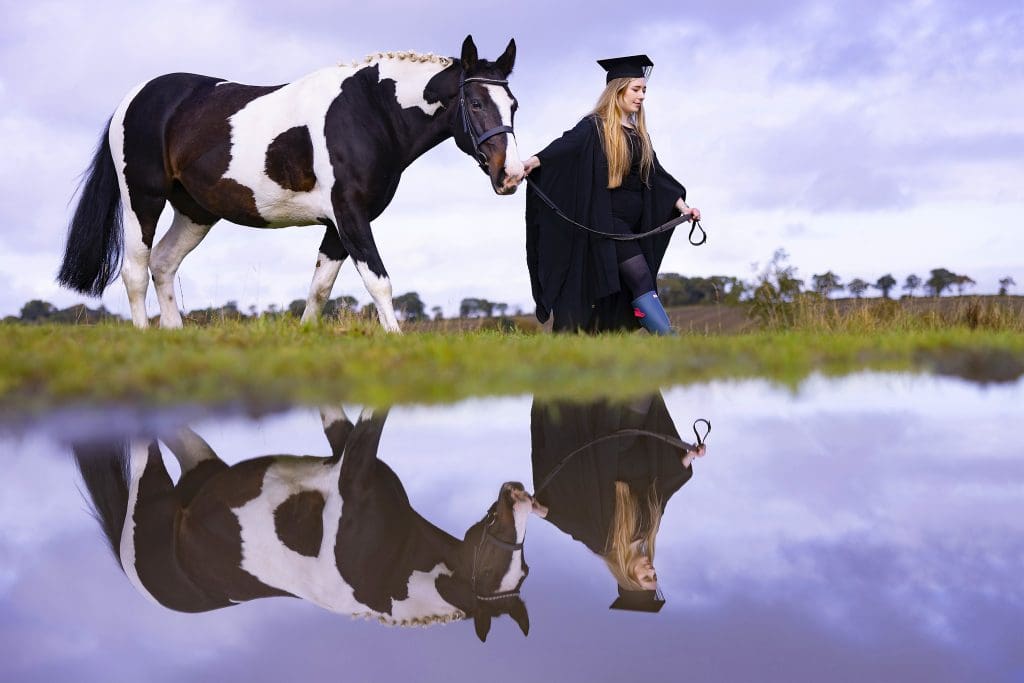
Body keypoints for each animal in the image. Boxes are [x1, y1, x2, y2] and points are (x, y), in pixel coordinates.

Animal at [57, 36, 524, 331]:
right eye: (475, 102)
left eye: (513, 104)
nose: (512, 174)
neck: (369, 112)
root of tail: (134, 98)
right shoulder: (351, 216)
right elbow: (379, 281)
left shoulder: (338, 225)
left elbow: (319, 288)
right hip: (143, 199)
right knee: (136, 270)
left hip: (195, 211)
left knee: (164, 264)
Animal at [74, 409, 540, 643]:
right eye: (492, 563)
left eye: (523, 569)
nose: (518, 493)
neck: (395, 574)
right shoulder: (349, 457)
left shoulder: (351, 462)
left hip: (180, 477)